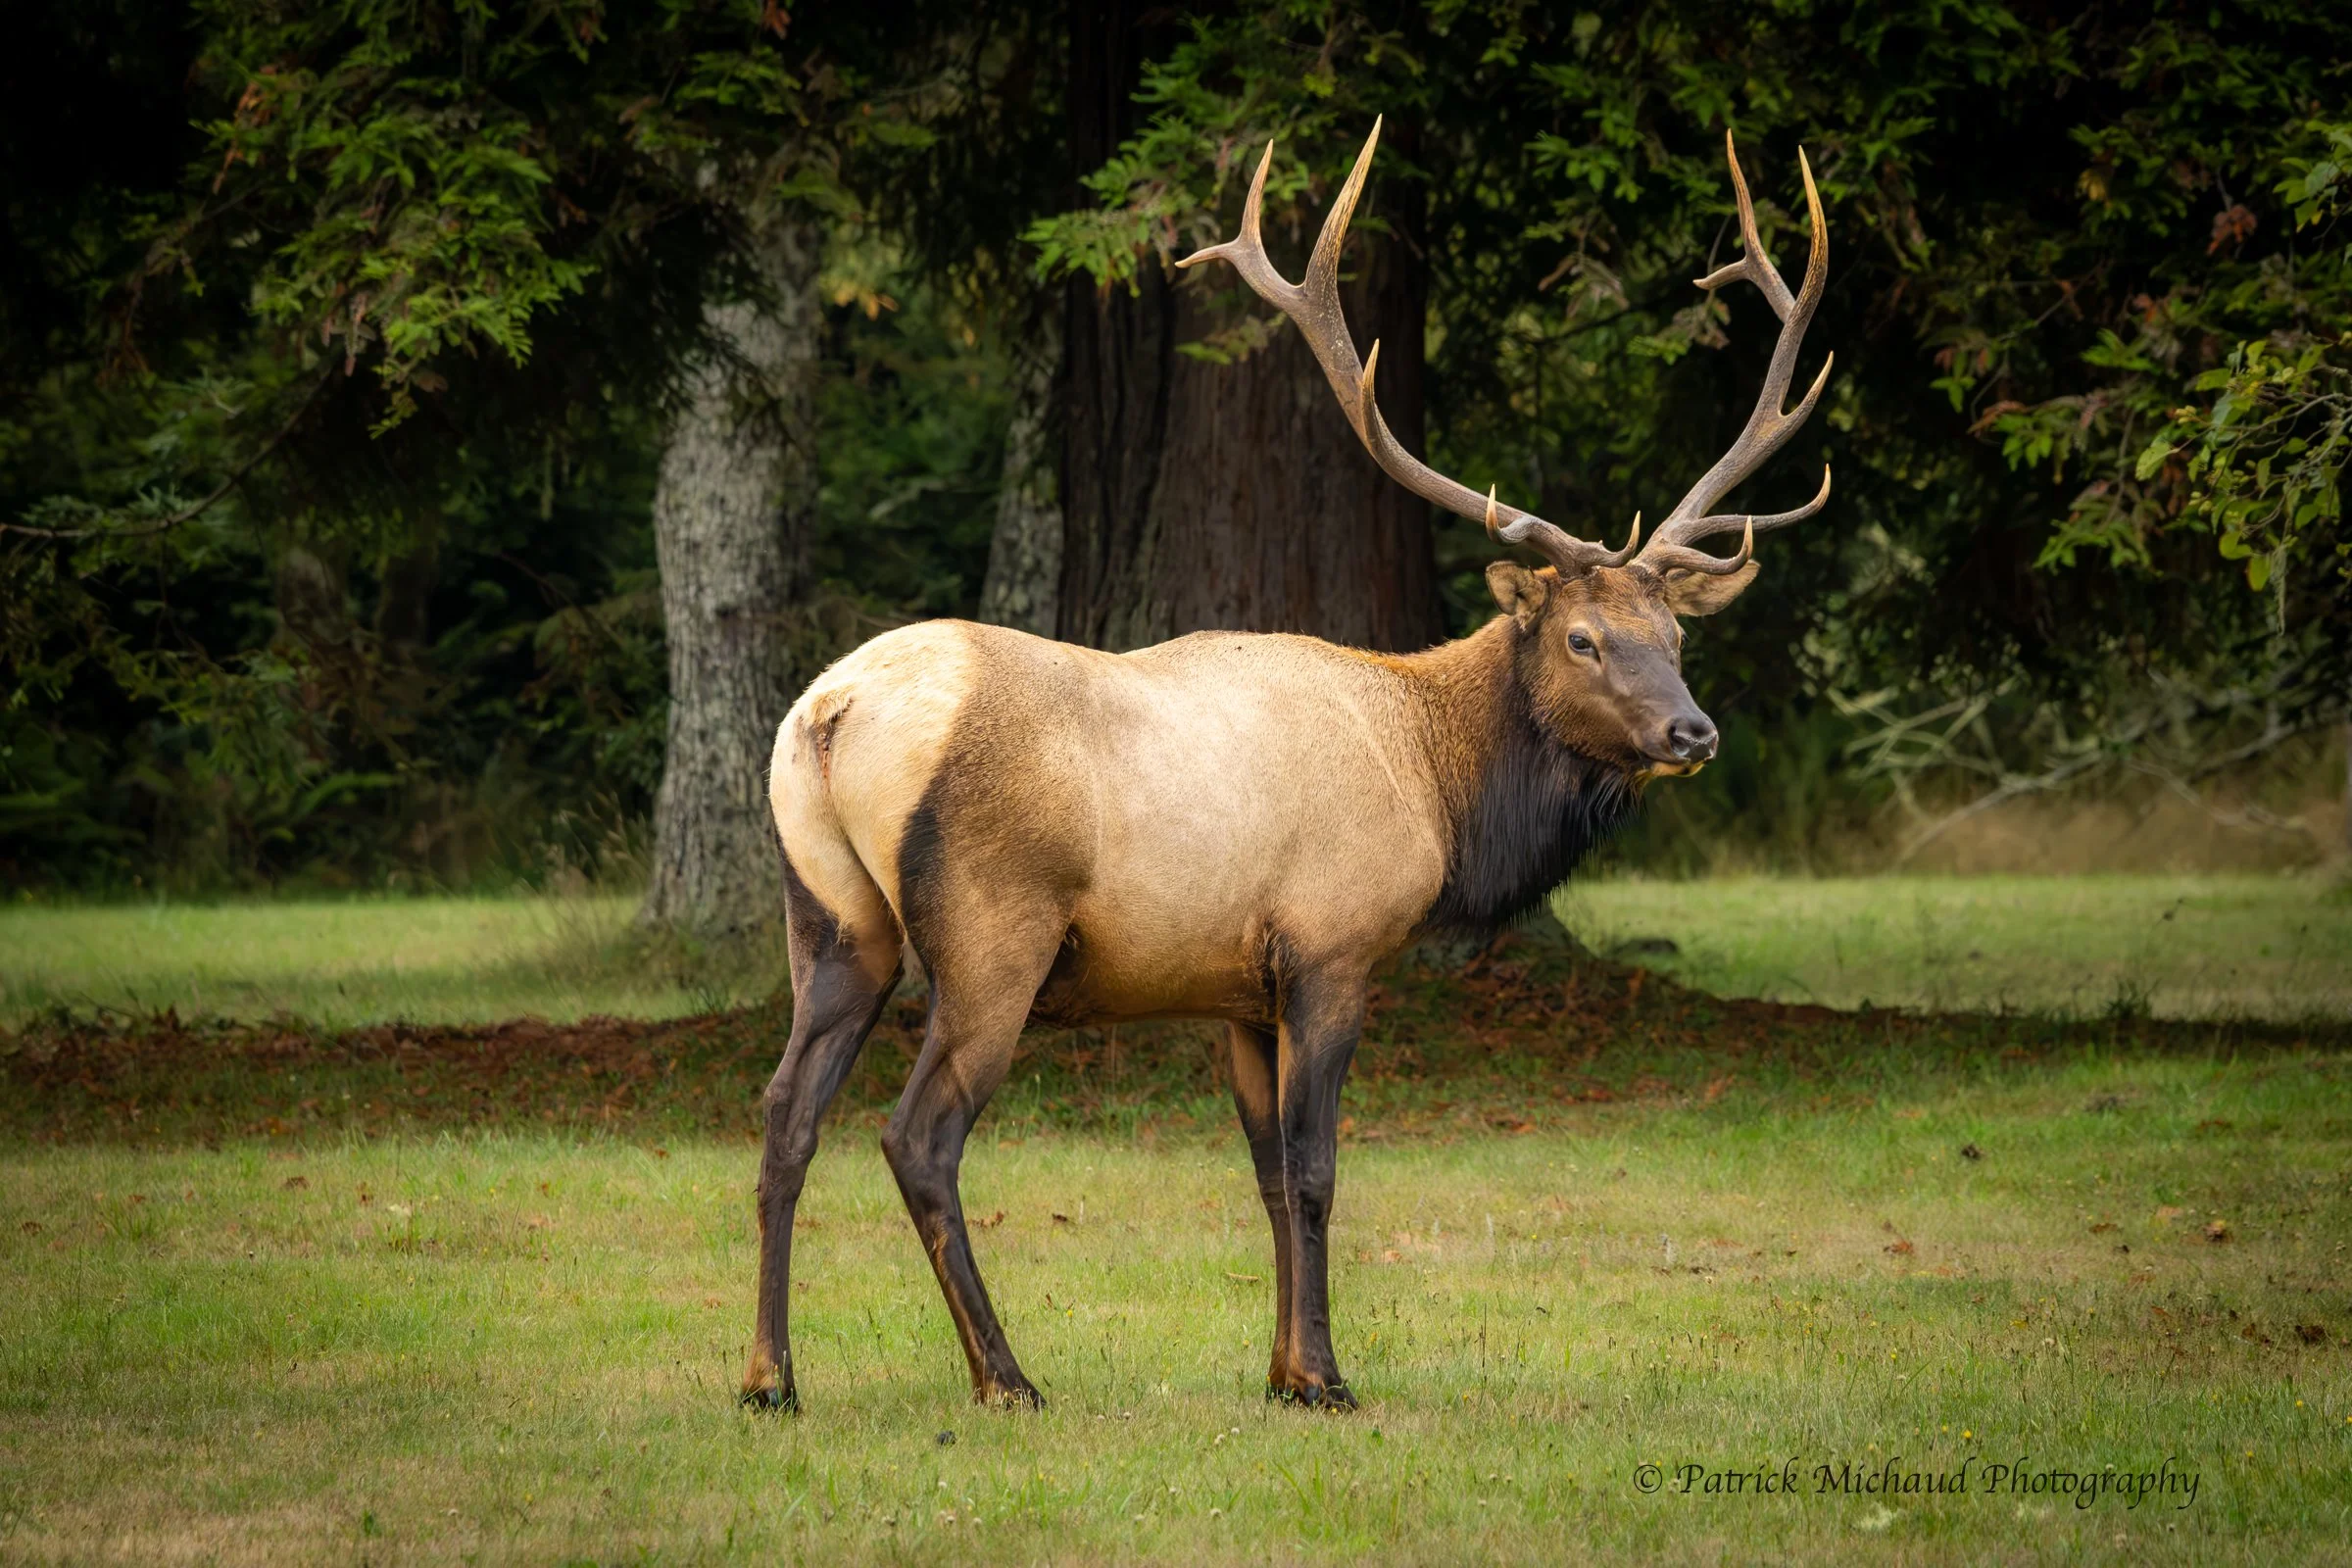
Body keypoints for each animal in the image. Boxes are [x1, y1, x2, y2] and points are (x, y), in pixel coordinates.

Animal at [739, 123, 1830, 1414]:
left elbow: (1263, 1173)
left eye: (1675, 635)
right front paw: (1328, 1375)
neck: (1439, 783)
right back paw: (1005, 1376)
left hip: (832, 916)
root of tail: (830, 712)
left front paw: (1279, 1368)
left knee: (784, 1114)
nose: (1691, 733)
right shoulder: (1333, 944)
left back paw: (769, 1377)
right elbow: (1316, 1168)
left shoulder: (1236, 987)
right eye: (1581, 637)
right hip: (989, 928)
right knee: (919, 1134)